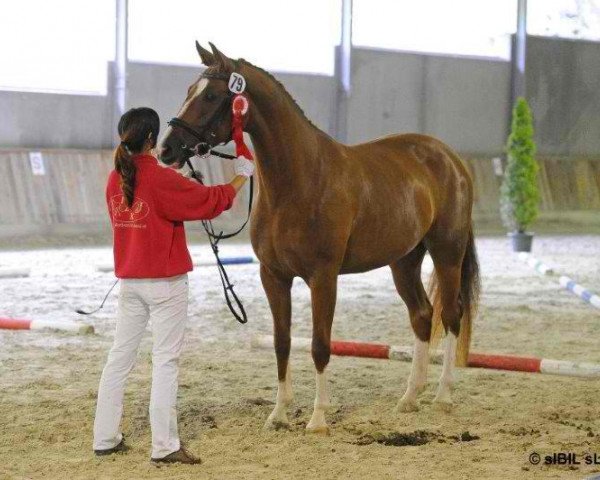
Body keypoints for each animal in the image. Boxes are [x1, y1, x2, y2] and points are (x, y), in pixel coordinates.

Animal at [157, 43, 480, 436]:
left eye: (211, 96)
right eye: (190, 90)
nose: (167, 150)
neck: (300, 180)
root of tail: (450, 158)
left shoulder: (323, 277)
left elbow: (320, 345)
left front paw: (318, 419)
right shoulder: (274, 276)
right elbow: (282, 343)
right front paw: (278, 414)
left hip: (447, 252)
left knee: (450, 315)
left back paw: (443, 396)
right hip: (404, 260)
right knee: (422, 315)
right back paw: (409, 398)